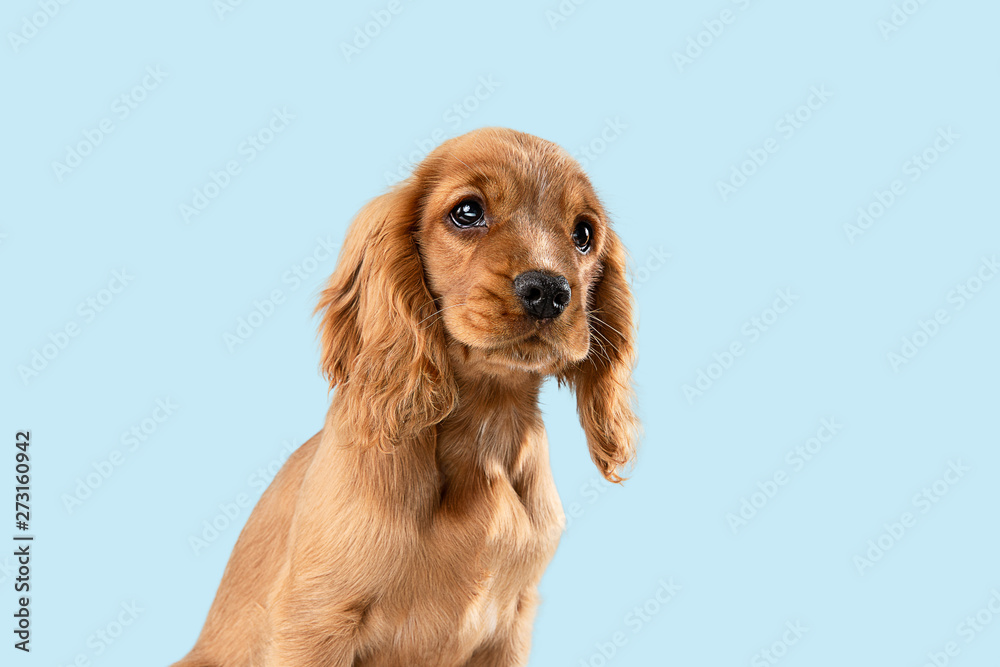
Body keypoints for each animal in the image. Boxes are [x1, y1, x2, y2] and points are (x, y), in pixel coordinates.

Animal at [173, 126, 636, 667]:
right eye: (467, 212)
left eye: (583, 234)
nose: (549, 291)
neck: (486, 424)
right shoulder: (314, 618)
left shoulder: (511, 626)